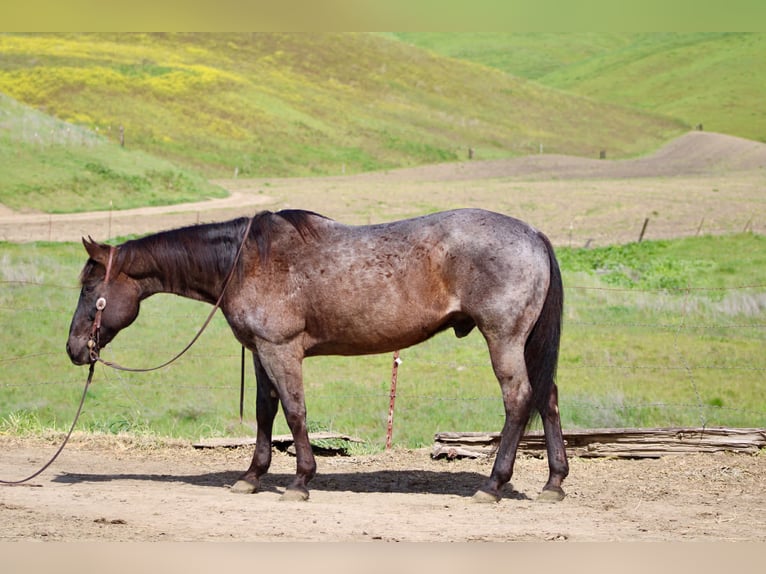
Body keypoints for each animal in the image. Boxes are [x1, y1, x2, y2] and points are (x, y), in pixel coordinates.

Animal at [66, 208, 568, 503]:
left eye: (89, 287)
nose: (74, 348)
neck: (245, 260)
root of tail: (533, 234)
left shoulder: (281, 350)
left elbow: (294, 412)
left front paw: (301, 479)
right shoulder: (261, 352)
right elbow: (265, 411)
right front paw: (252, 476)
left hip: (503, 339)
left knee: (518, 400)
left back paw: (493, 484)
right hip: (526, 344)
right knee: (547, 398)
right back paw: (554, 481)